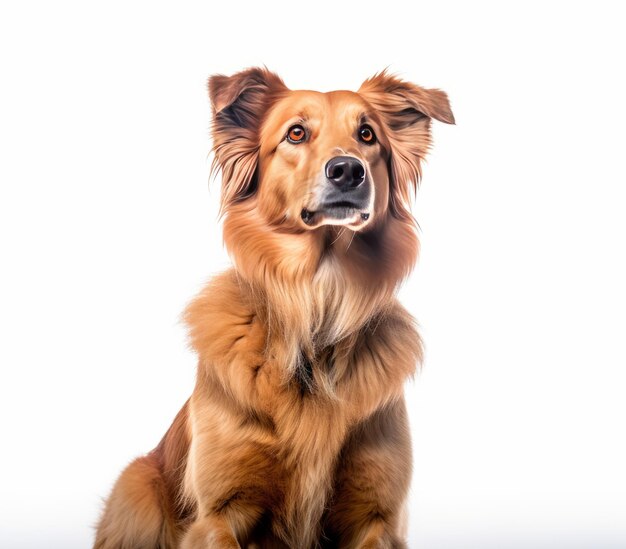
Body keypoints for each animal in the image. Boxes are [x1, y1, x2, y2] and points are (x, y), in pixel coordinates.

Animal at [94, 66, 454, 544]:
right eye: (295, 133)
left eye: (367, 134)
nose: (348, 170)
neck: (317, 306)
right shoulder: (220, 512)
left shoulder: (376, 518)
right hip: (137, 488)